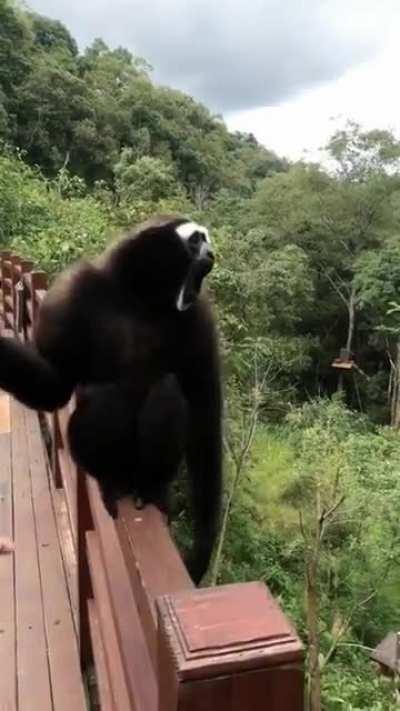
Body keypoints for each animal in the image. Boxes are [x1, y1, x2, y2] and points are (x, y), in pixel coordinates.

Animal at [0, 215, 222, 584]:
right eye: (197, 240)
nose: (211, 253)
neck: (142, 298)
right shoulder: (72, 294)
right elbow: (57, 386)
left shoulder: (199, 318)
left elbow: (204, 410)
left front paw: (203, 546)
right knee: (104, 394)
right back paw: (111, 481)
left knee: (166, 388)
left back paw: (151, 488)